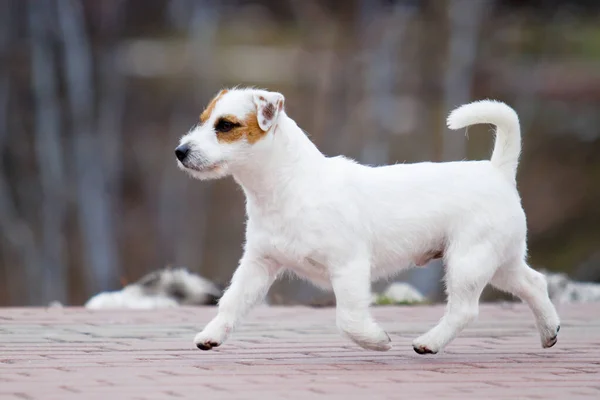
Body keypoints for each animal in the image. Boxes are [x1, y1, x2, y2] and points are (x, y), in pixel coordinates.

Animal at [176, 86, 560, 354]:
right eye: (204, 118)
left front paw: (376, 340)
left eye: (226, 125)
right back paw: (549, 331)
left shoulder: (348, 266)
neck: (288, 186)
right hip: (499, 262)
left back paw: (429, 342)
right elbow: (232, 302)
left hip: (468, 261)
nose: (180, 151)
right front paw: (211, 335)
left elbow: (348, 318)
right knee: (534, 283)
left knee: (465, 310)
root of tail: (498, 171)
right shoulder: (259, 263)